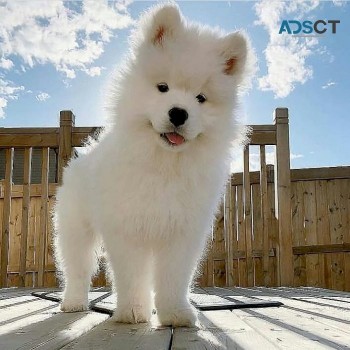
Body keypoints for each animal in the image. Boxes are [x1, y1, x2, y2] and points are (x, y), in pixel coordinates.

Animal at [54, 3, 252, 328]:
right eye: (162, 87)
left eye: (201, 98)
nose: (179, 113)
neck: (164, 164)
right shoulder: (127, 229)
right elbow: (131, 276)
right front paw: (133, 313)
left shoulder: (181, 233)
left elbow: (173, 278)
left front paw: (175, 314)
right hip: (75, 229)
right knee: (77, 268)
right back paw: (73, 302)